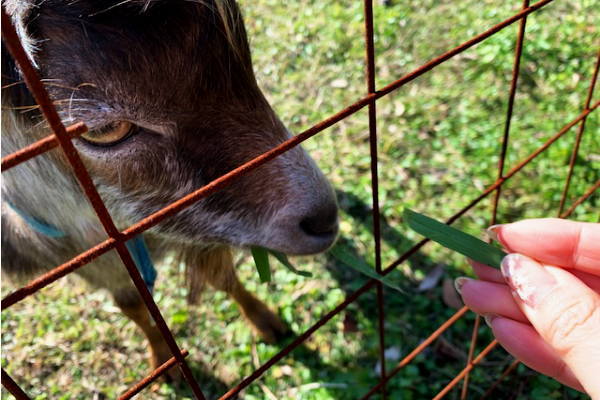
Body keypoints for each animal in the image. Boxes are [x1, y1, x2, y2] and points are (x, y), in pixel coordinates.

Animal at [1, 0, 338, 378]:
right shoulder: (96, 262)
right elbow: (133, 307)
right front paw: (163, 360)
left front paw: (265, 320)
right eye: (104, 130)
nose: (323, 217)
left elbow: (223, 277)